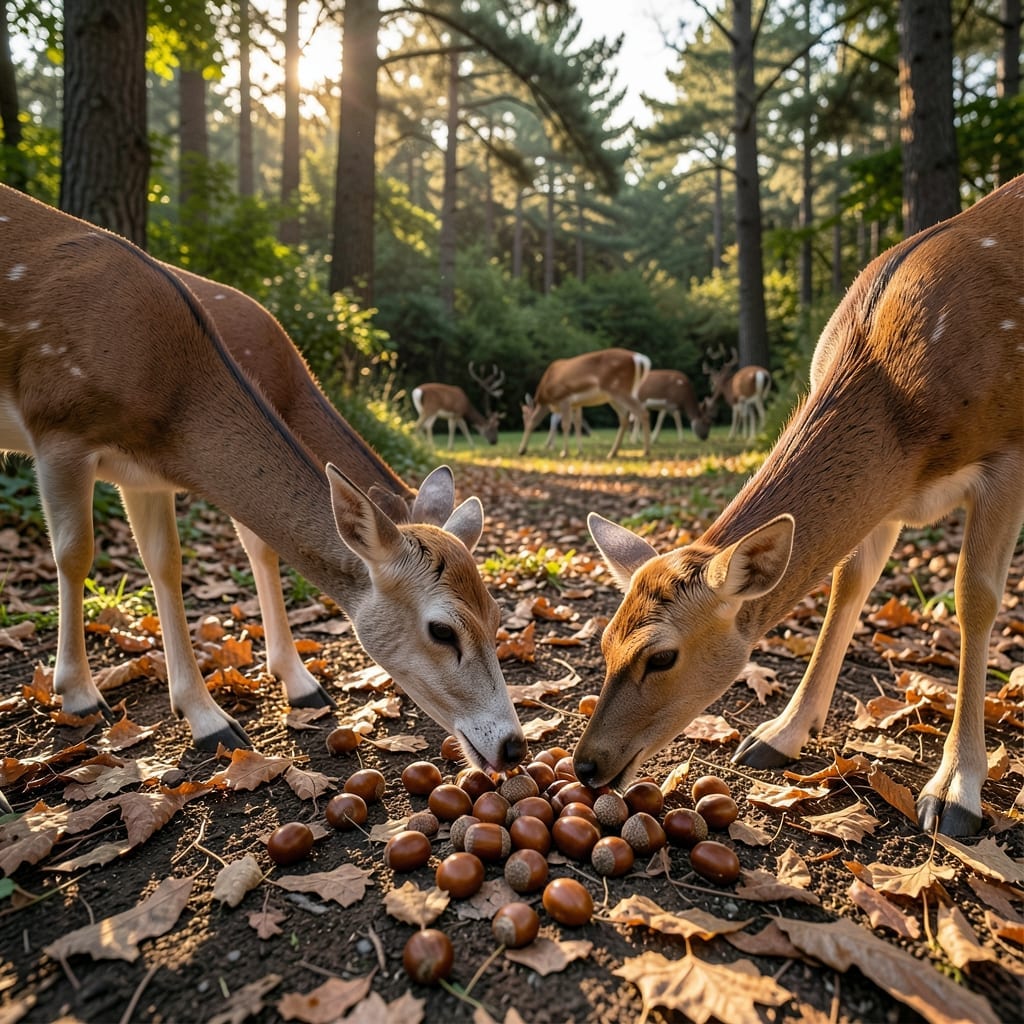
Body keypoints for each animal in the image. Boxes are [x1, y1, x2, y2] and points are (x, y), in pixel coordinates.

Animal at [0, 185, 527, 815]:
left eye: (497, 614)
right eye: (442, 630)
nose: (513, 745)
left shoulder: (145, 475)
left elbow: (171, 564)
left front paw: (223, 711)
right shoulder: (57, 429)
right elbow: (75, 554)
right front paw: (80, 694)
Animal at [519, 348, 652, 458]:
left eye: (525, 417)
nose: (521, 451)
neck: (546, 396)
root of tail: (639, 358)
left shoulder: (564, 398)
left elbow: (565, 425)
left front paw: (564, 452)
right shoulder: (576, 404)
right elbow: (577, 424)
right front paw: (580, 451)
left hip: (618, 389)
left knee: (642, 412)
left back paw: (645, 451)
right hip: (613, 396)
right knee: (624, 418)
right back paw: (612, 452)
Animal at [573, 175, 1024, 837]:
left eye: (661, 657)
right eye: (603, 642)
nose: (586, 764)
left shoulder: (1008, 455)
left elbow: (975, 598)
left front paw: (956, 790)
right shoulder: (888, 497)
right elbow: (849, 582)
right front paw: (779, 734)